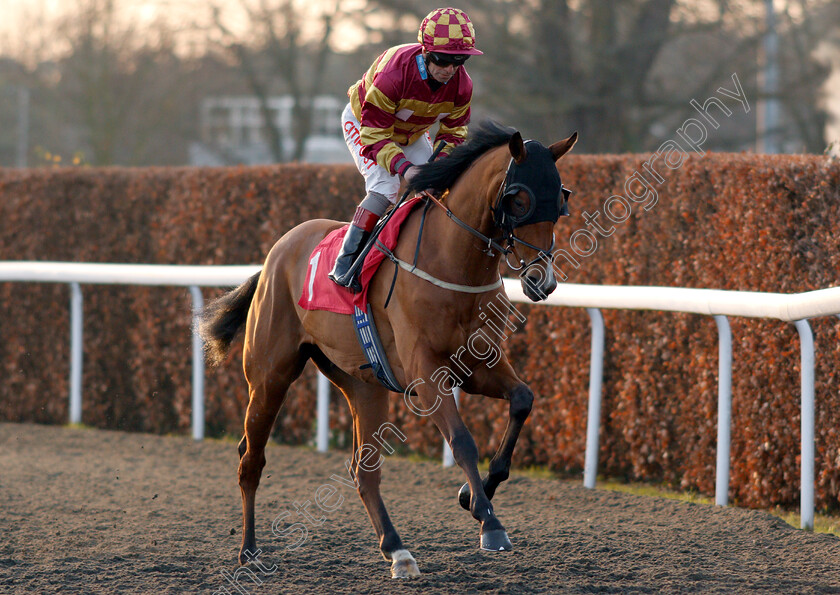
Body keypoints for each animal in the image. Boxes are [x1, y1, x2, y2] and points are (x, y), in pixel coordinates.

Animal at [199, 121, 576, 576]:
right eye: (519, 199)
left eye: (561, 199)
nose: (543, 280)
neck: (452, 262)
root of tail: (276, 253)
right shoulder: (426, 372)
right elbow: (462, 441)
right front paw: (490, 524)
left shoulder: (476, 365)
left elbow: (523, 399)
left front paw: (472, 496)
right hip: (270, 376)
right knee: (250, 458)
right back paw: (250, 550)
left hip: (364, 384)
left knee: (364, 471)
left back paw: (397, 550)